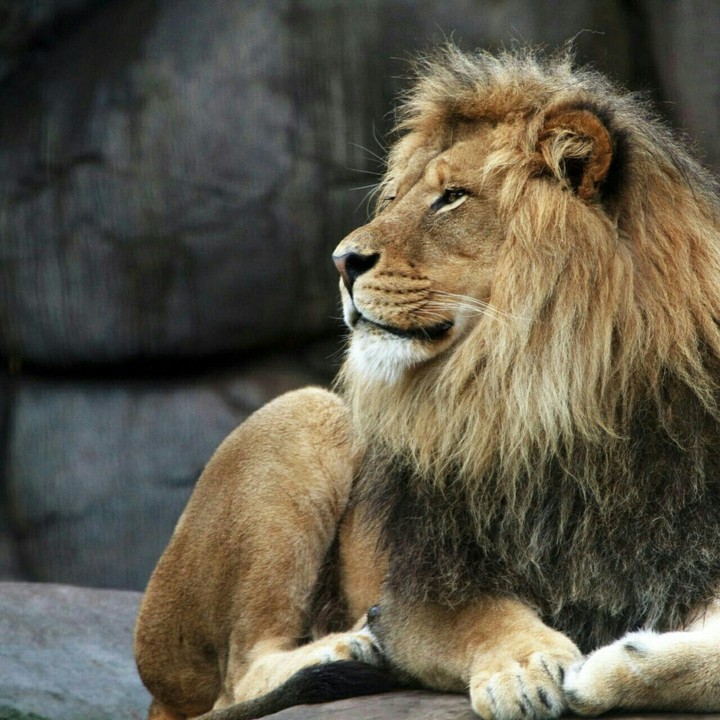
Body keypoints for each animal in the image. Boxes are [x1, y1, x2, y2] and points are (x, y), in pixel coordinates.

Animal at [134, 45, 720, 720]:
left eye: (452, 198)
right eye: (393, 198)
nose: (342, 262)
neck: (561, 398)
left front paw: (614, 665)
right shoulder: (418, 589)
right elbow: (482, 618)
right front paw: (525, 668)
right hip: (309, 412)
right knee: (240, 674)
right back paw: (350, 649)